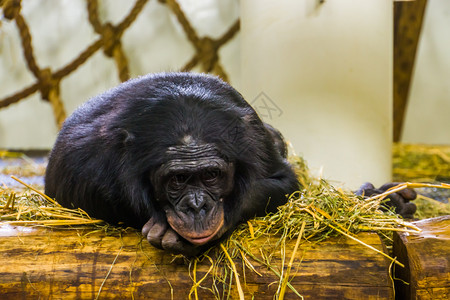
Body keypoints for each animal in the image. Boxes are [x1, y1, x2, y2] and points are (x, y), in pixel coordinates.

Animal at [44, 72, 416, 255]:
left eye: (211, 175)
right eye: (177, 180)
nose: (196, 206)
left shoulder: (253, 139)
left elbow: (282, 183)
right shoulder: (91, 170)